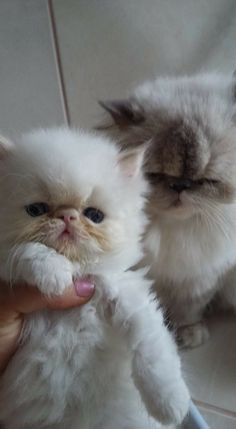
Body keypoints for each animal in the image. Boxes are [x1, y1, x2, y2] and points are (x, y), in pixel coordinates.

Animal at [0, 128, 189, 428]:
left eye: (94, 215)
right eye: (36, 210)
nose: (67, 217)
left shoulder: (127, 298)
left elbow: (153, 355)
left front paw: (171, 406)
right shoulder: (8, 264)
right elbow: (29, 250)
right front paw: (54, 276)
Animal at [99, 72, 236, 348]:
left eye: (208, 180)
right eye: (156, 175)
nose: (180, 186)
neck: (171, 230)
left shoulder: (199, 279)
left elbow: (189, 310)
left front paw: (188, 333)